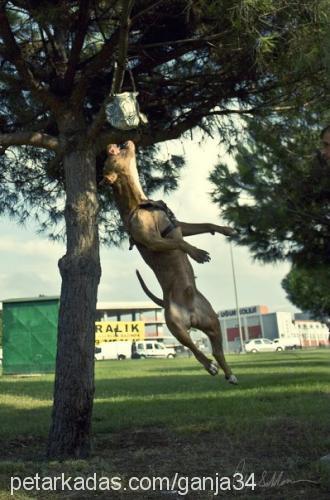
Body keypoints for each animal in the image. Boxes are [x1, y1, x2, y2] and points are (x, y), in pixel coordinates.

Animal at [103, 141, 237, 382]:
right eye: (108, 159)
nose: (110, 145)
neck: (140, 203)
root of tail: (189, 314)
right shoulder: (152, 239)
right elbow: (179, 243)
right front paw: (196, 252)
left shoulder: (179, 225)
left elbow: (201, 226)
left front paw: (224, 229)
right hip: (175, 326)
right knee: (194, 348)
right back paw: (210, 366)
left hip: (212, 321)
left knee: (216, 350)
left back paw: (229, 374)